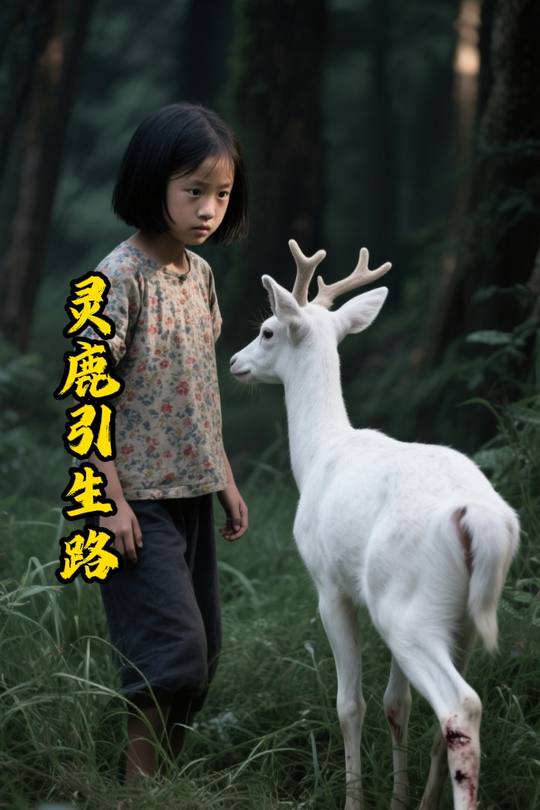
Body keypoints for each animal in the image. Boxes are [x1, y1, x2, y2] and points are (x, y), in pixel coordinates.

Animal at [229, 240, 520, 810]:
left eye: (267, 330)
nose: (233, 362)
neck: (318, 455)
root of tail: (477, 518)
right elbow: (394, 703)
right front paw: (400, 799)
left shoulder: (329, 585)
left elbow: (351, 704)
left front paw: (354, 798)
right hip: (459, 614)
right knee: (447, 715)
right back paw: (430, 799)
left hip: (404, 605)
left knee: (461, 704)